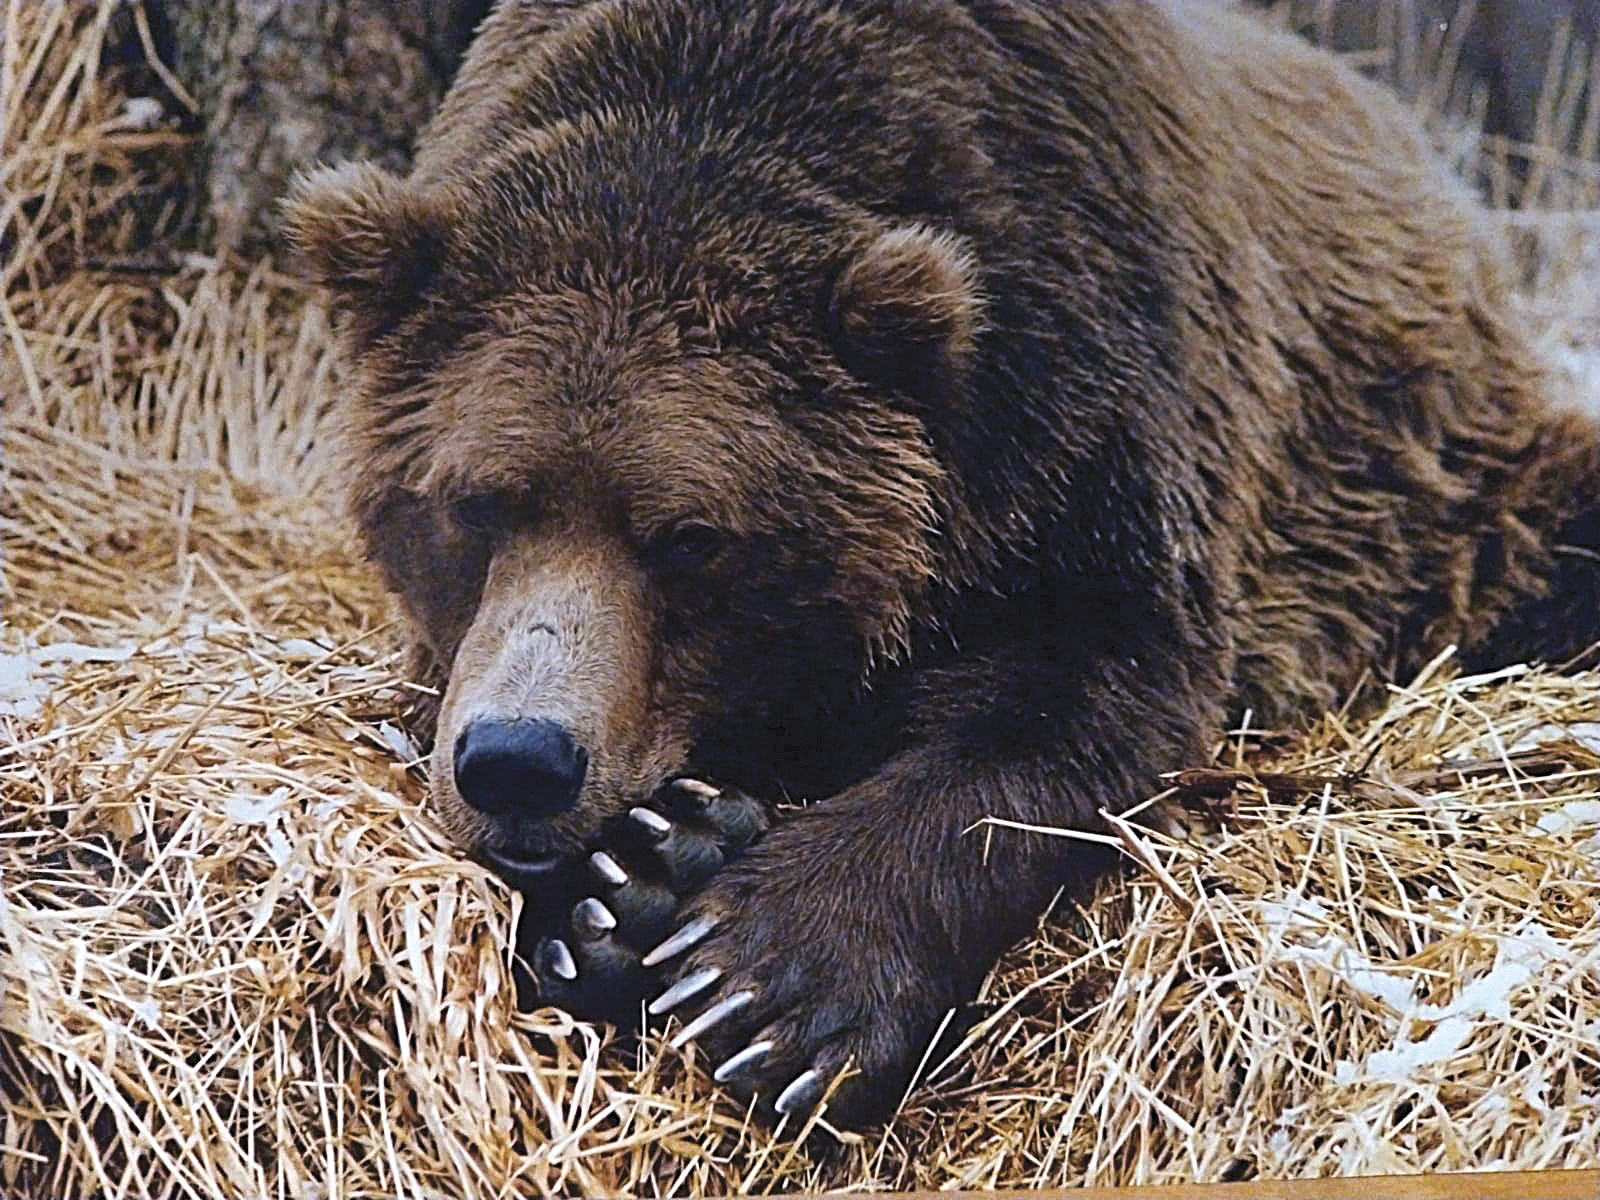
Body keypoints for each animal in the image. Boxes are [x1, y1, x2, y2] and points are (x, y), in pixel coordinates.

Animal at [288, 0, 1600, 1126]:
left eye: (690, 536)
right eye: (476, 502)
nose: (519, 760)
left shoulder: (1083, 391)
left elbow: (1067, 697)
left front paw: (764, 978)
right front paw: (628, 888)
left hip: (1449, 485)